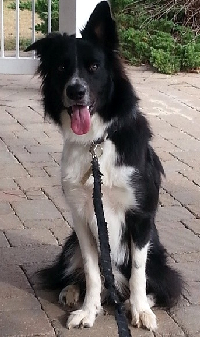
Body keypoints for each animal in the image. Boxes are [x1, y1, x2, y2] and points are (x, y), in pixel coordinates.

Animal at [26, 0, 183, 330]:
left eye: (94, 67)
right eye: (61, 68)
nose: (75, 91)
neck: (97, 142)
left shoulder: (140, 216)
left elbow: (137, 272)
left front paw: (139, 309)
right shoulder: (82, 218)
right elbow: (92, 270)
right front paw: (89, 309)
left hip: (158, 254)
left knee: (156, 282)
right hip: (70, 242)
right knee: (78, 273)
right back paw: (73, 292)